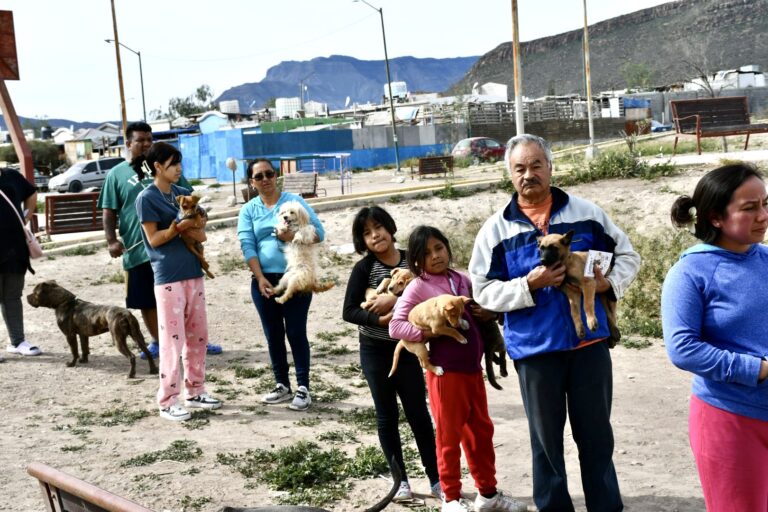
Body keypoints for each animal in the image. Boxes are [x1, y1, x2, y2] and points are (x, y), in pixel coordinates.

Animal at [26, 280, 158, 376]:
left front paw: (72, 363)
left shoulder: (70, 336)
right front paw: (84, 360)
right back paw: (153, 370)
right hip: (138, 336)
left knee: (132, 357)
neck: (63, 302)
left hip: (118, 340)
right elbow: (84, 349)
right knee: (148, 353)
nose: (26, 296)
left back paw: (130, 375)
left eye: (34, 293)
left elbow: (74, 351)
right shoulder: (83, 335)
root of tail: (125, 314)